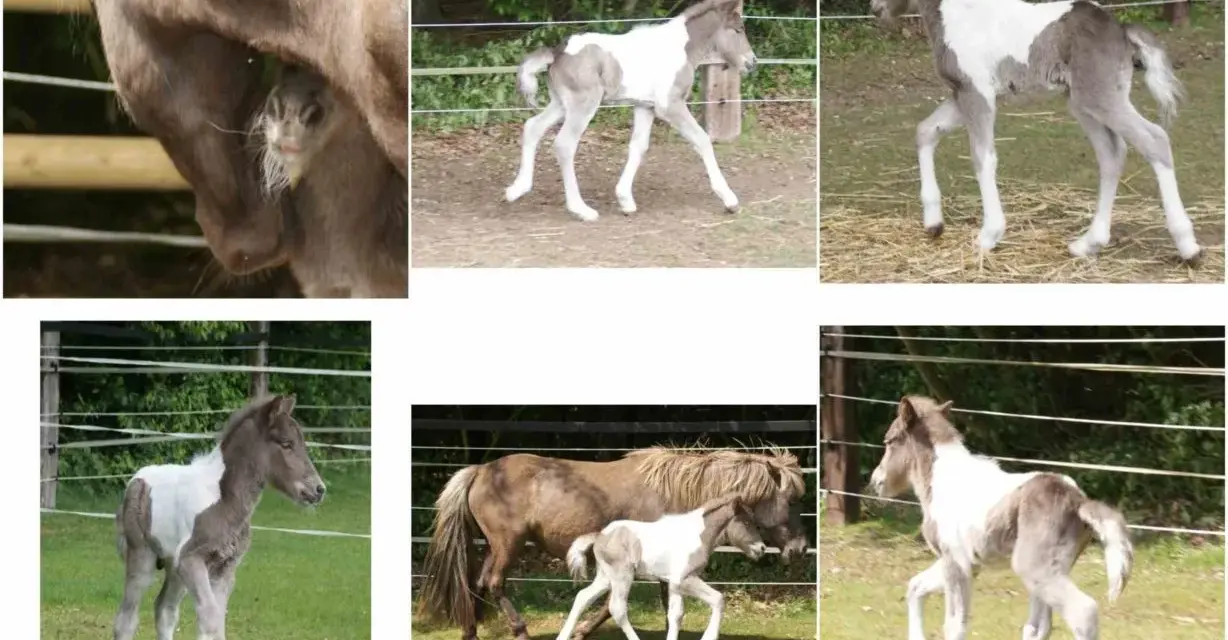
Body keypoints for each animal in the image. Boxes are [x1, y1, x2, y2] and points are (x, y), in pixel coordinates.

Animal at [112, 394, 326, 640]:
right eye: (286, 444)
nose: (319, 489)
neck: (225, 499)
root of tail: (136, 480)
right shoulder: (191, 559)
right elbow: (210, 617)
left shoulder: (225, 568)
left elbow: (218, 618)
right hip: (143, 557)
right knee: (126, 619)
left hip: (173, 565)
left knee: (165, 610)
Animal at [506, 0, 757, 221]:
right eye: (739, 29)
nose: (752, 61)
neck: (681, 48)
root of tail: (558, 52)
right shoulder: (670, 105)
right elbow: (702, 140)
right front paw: (730, 200)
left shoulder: (645, 106)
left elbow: (638, 147)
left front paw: (625, 201)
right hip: (583, 104)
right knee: (564, 144)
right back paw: (581, 210)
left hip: (560, 103)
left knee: (533, 127)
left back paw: (516, 189)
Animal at [558, 493, 765, 640]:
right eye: (746, 522)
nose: (762, 548)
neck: (697, 535)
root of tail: (600, 536)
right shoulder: (684, 580)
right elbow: (718, 599)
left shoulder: (673, 584)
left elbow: (676, 615)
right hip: (622, 576)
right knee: (617, 609)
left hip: (605, 577)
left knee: (582, 597)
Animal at [868, 395, 1134, 640]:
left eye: (889, 440)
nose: (876, 481)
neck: (941, 480)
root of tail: (1078, 501)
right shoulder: (961, 562)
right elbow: (916, 586)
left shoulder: (956, 562)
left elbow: (954, 625)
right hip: (1051, 571)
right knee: (1037, 627)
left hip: (1034, 568)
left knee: (1083, 612)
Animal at [869, 0, 1201, 262]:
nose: (875, 8)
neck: (956, 13)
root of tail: (1120, 29)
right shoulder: (960, 96)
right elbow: (925, 131)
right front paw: (933, 224)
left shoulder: (977, 94)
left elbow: (982, 158)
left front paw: (988, 236)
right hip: (1083, 104)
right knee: (1112, 155)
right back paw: (1088, 244)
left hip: (1101, 98)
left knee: (1154, 139)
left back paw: (1189, 247)